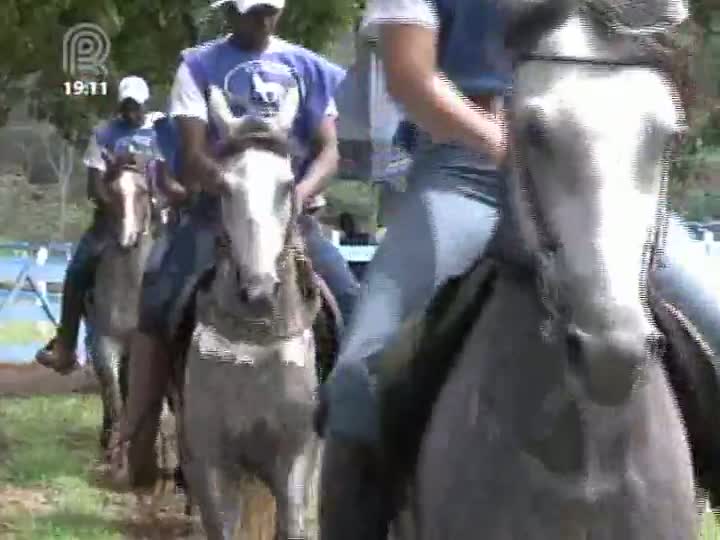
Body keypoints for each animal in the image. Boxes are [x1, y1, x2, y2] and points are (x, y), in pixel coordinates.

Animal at [180, 86, 330, 536]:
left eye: (287, 185)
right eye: (225, 186)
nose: (260, 290)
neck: (255, 343)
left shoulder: (296, 457)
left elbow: (292, 521)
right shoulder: (211, 462)